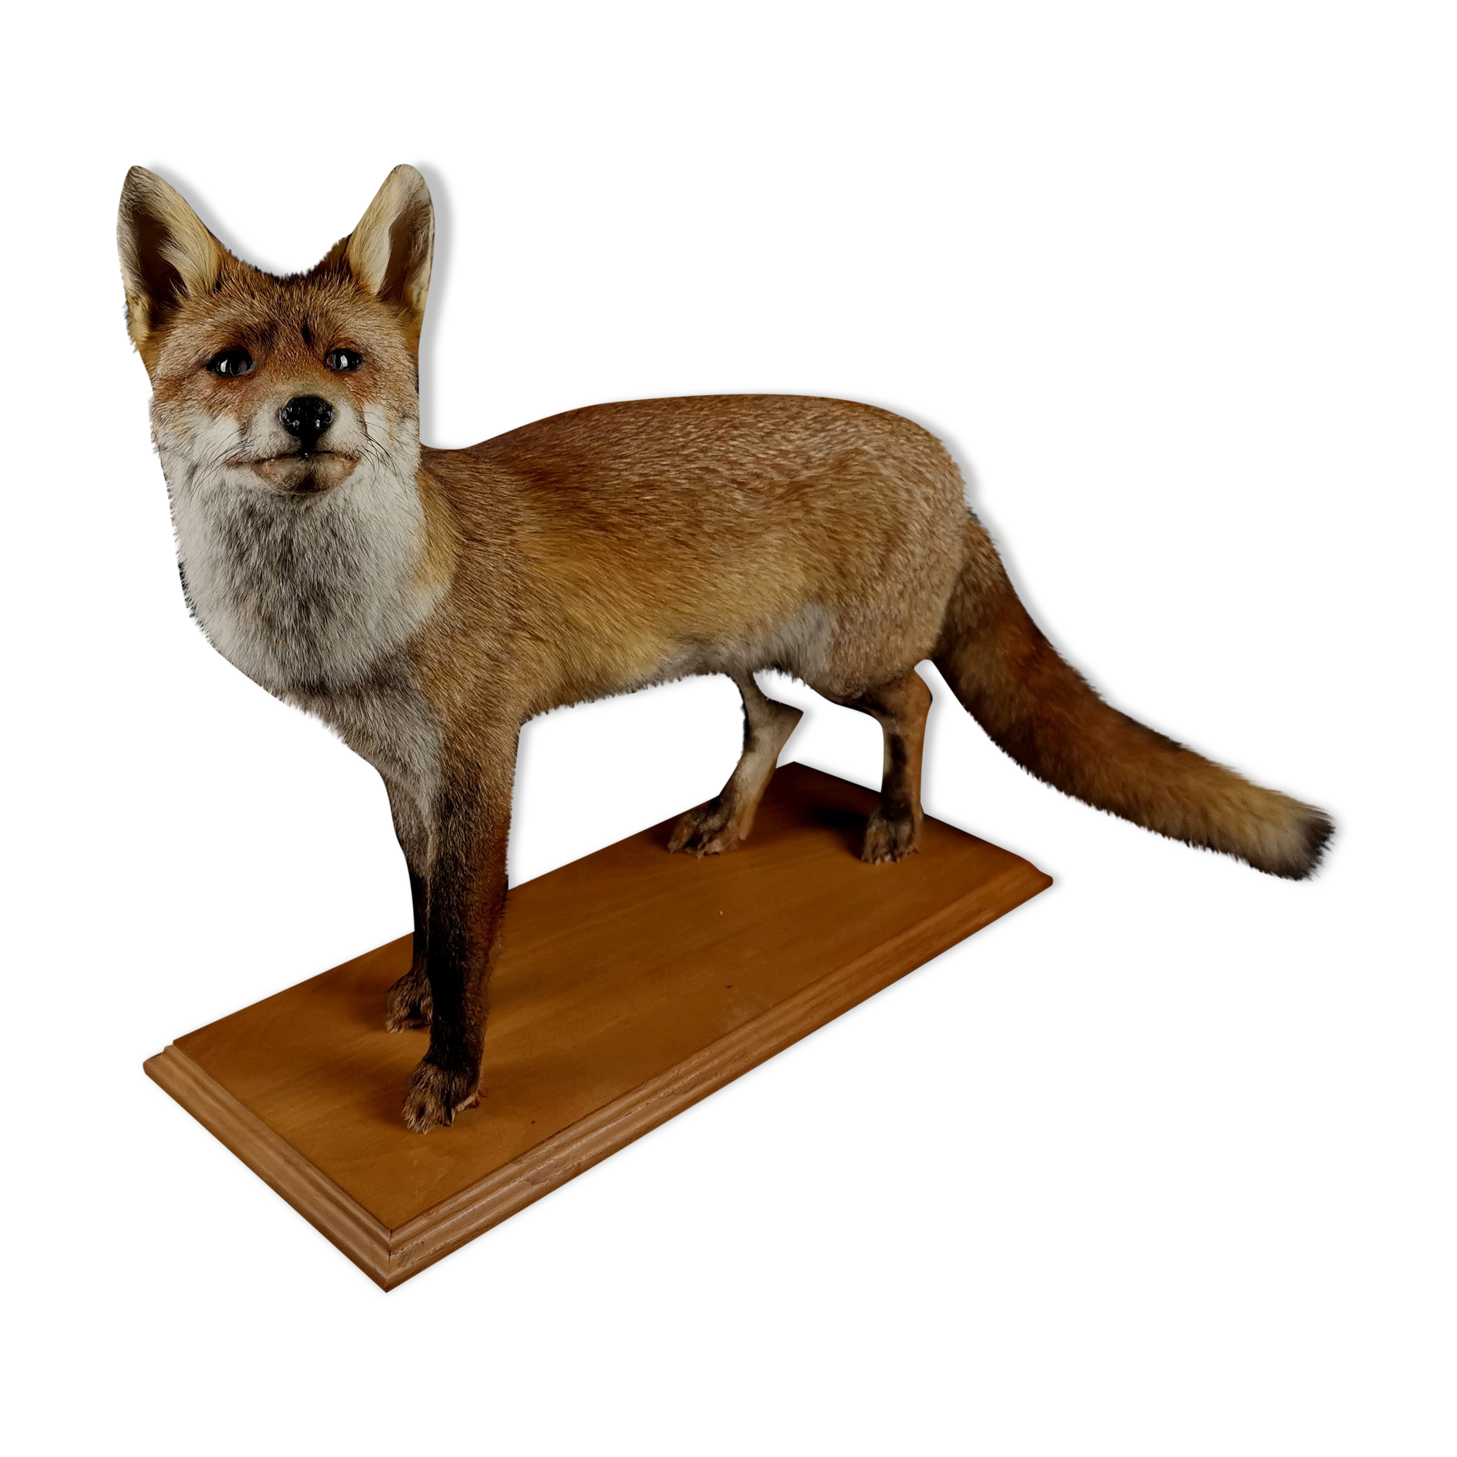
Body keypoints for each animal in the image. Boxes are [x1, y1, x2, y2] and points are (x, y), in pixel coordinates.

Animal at [117, 159, 1342, 1133]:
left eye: (343, 359)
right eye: (230, 366)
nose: (307, 413)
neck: (350, 626)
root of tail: (955, 470)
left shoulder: (480, 764)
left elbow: (468, 934)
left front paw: (450, 1075)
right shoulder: (406, 772)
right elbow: (422, 905)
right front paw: (416, 996)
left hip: (849, 658)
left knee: (910, 703)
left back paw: (897, 824)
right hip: (759, 661)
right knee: (779, 724)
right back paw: (726, 821)